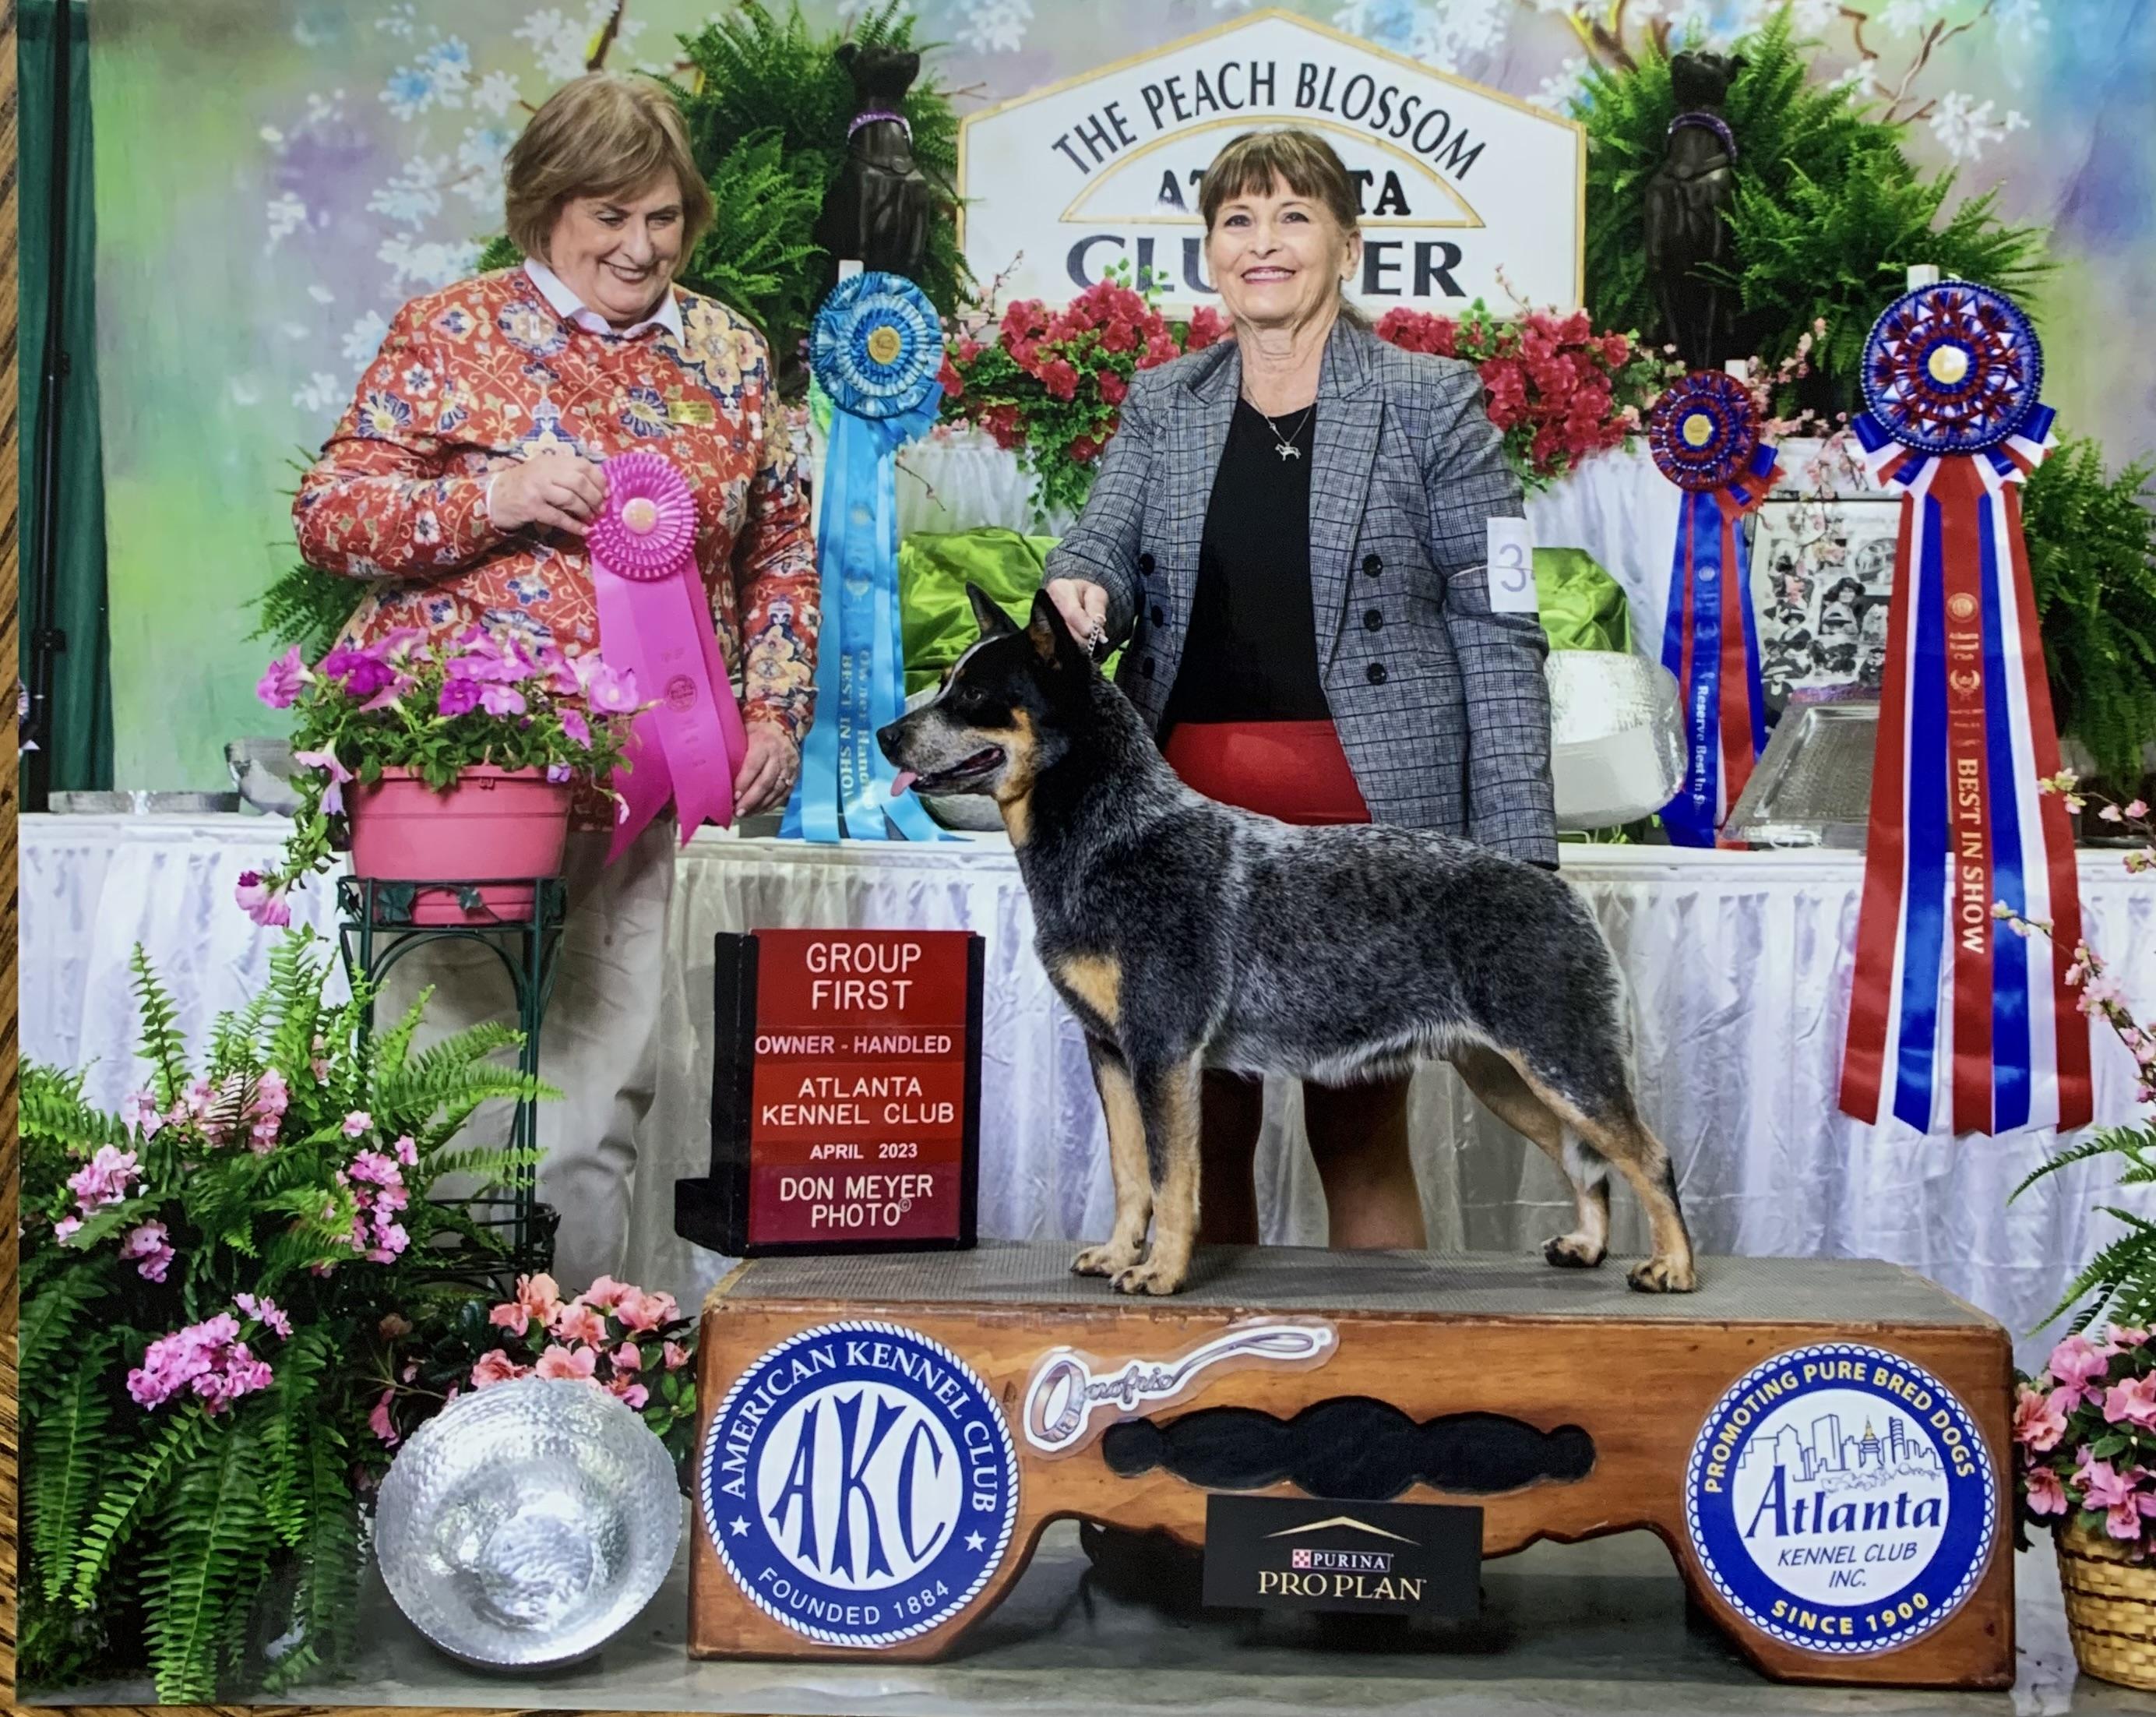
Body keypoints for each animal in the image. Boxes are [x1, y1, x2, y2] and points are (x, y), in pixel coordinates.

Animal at [877, 587, 1698, 1299]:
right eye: (943, 680)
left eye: (973, 696)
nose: (885, 733)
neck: (1114, 837)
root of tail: (1558, 887)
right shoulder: (1110, 1050)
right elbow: (1131, 1173)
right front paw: (1116, 1253)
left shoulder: (1163, 1048)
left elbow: (1172, 1180)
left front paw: (1159, 1272)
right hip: (1504, 1075)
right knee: (1586, 1160)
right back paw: (1587, 1245)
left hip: (1561, 1059)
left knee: (1646, 1155)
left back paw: (1674, 1268)